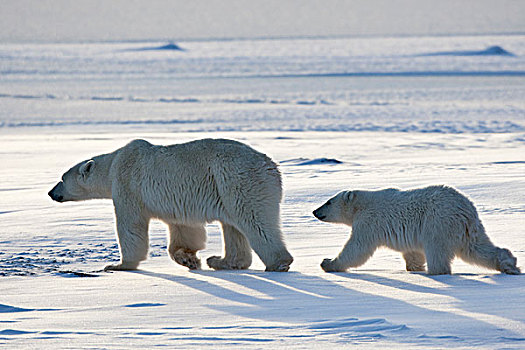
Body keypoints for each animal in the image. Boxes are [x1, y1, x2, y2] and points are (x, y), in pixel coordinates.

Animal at [48, 138, 292, 272]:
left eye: (62, 178)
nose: (51, 192)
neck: (113, 163)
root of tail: (272, 166)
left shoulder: (127, 184)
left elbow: (130, 226)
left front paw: (118, 265)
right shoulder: (179, 201)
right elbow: (185, 229)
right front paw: (189, 259)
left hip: (238, 180)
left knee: (253, 220)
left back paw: (278, 263)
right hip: (225, 188)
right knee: (233, 226)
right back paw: (221, 261)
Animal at [314, 185, 516, 274]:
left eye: (328, 202)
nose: (315, 211)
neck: (361, 205)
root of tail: (465, 209)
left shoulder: (368, 222)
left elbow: (357, 248)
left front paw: (327, 262)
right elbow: (412, 253)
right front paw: (414, 268)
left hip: (438, 222)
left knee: (437, 251)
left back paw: (437, 272)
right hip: (467, 228)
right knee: (476, 248)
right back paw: (509, 264)